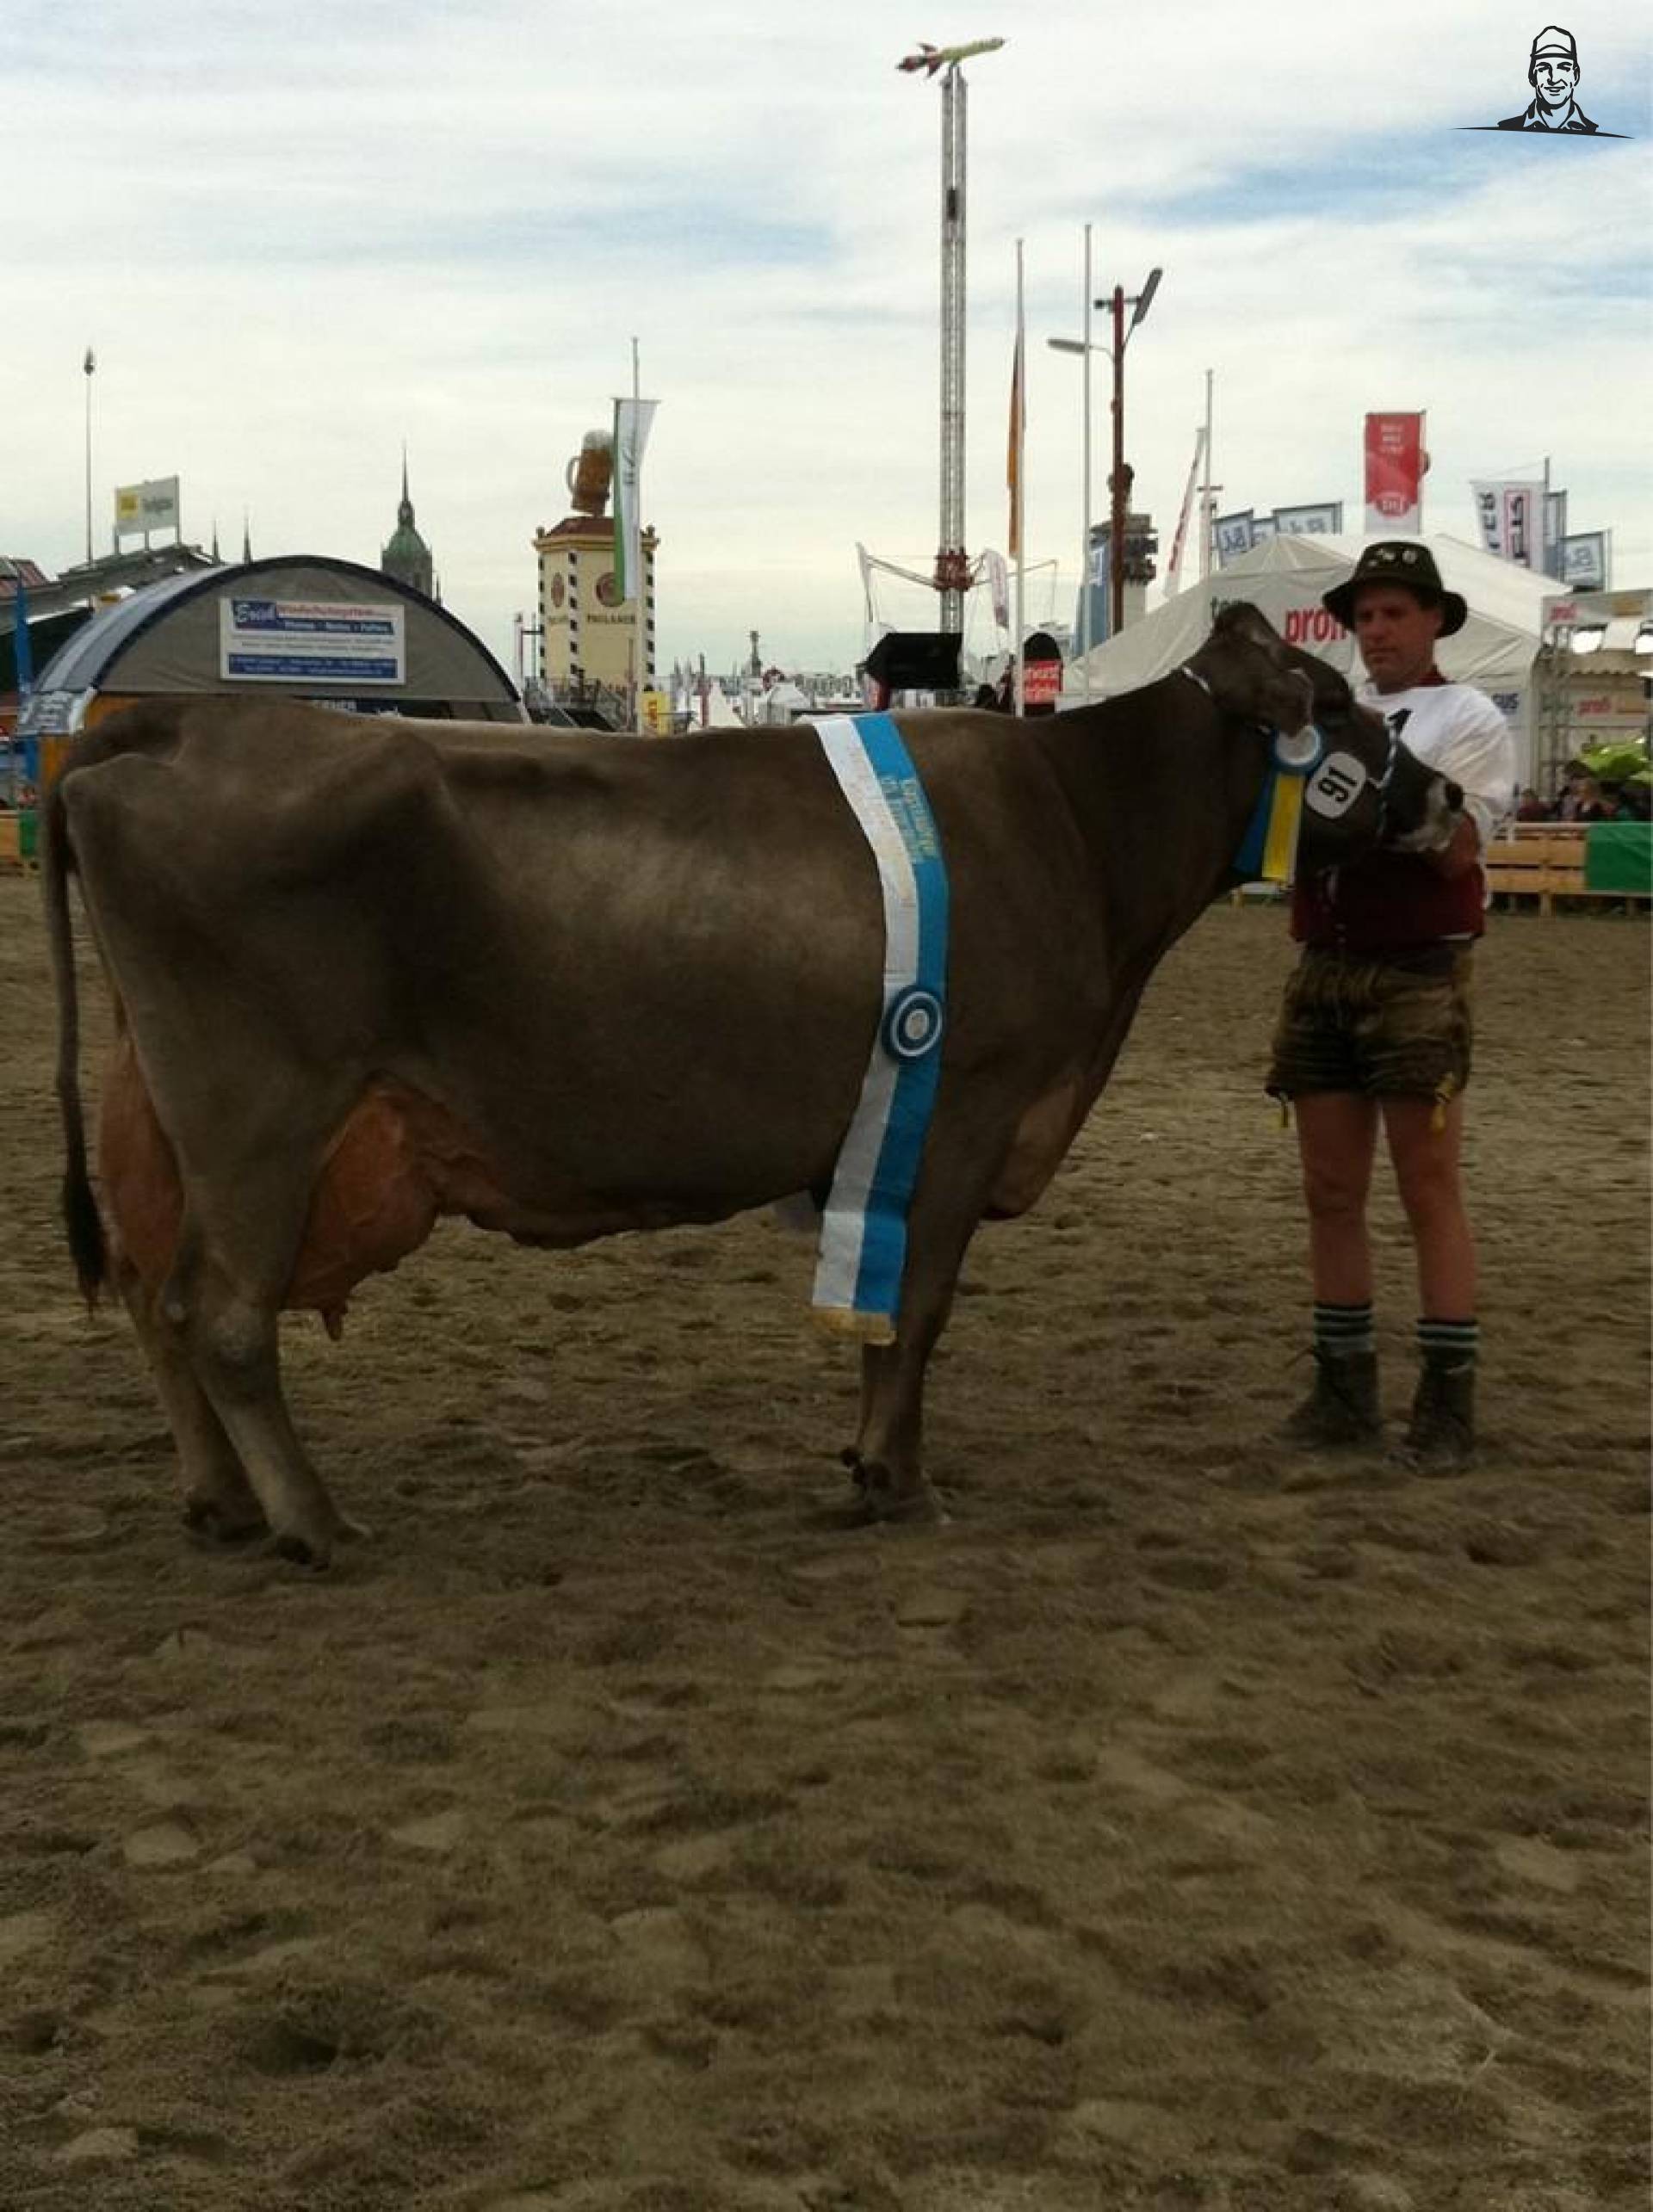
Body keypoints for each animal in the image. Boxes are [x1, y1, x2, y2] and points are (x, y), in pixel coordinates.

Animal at [44, 606, 1462, 1566]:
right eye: (1337, 708)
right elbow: (918, 1309)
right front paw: (897, 1477)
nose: (1448, 794)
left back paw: (224, 1502)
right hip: (261, 1111)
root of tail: (182, 719)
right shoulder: (968, 1104)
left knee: (155, 1297)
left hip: (161, 1104)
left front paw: (869, 1460)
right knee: (226, 1316)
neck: (1081, 824)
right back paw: (315, 1522)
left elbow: (890, 1311)